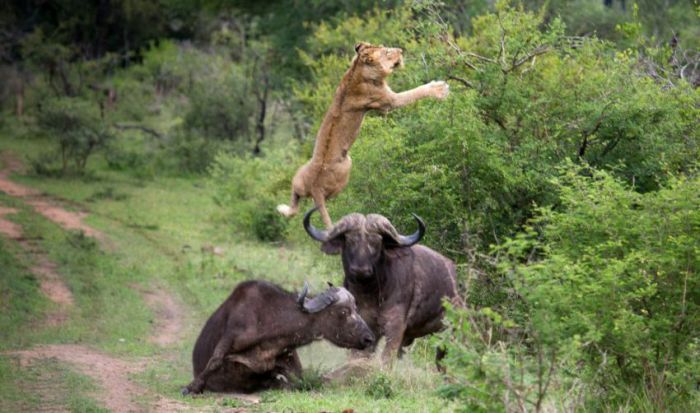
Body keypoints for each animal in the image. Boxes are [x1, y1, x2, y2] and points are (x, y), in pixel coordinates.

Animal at [183, 280, 374, 392]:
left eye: (356, 308)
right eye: (344, 311)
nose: (369, 338)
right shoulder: (231, 336)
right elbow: (214, 361)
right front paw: (192, 387)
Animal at [302, 208, 460, 362]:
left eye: (376, 243)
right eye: (351, 240)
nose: (360, 270)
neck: (371, 294)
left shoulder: (395, 327)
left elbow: (385, 360)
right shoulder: (366, 327)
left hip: (448, 335)